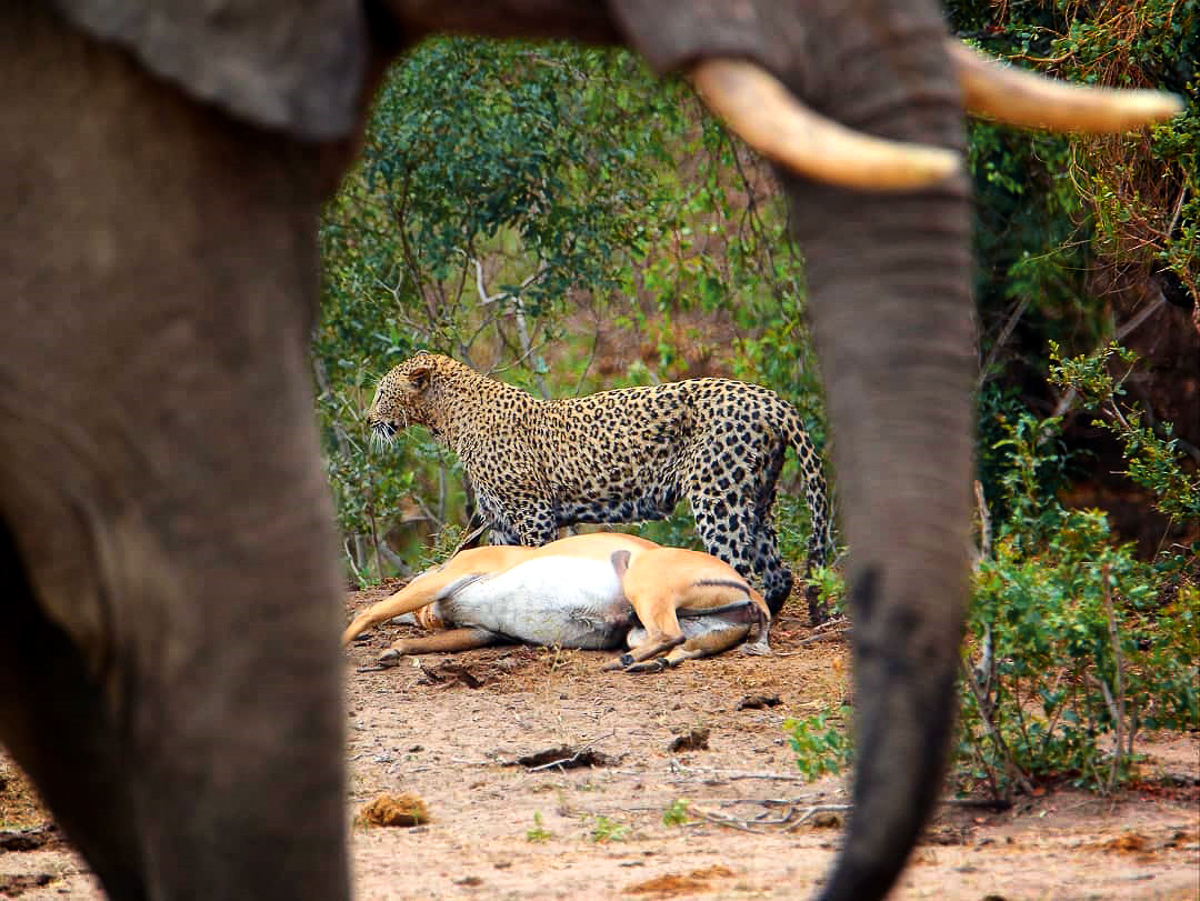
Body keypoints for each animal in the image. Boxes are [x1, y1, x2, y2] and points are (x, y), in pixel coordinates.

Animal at [367, 351, 834, 620]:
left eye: (381, 393)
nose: (368, 420)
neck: (450, 421)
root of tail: (771, 399)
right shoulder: (500, 519)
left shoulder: (532, 510)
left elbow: (536, 562)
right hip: (754, 494)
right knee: (777, 571)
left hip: (717, 495)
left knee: (736, 567)